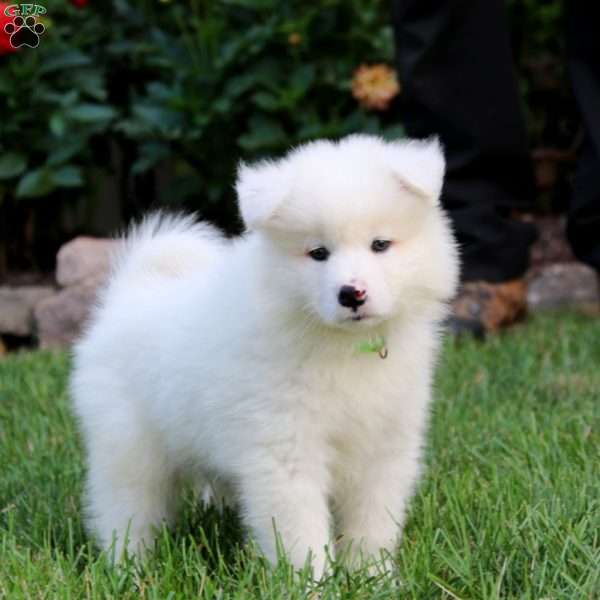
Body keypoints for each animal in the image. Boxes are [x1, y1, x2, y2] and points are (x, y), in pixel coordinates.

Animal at [72, 135, 462, 576]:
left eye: (380, 245)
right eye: (318, 253)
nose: (352, 294)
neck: (342, 345)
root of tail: (129, 294)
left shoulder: (384, 445)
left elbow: (373, 524)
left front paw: (371, 577)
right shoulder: (285, 448)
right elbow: (300, 532)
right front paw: (314, 582)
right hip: (128, 444)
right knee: (127, 508)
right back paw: (130, 568)